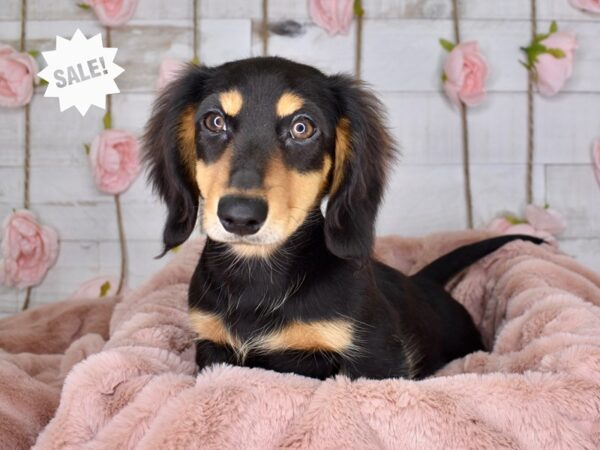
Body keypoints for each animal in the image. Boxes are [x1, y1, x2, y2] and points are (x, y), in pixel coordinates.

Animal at [144, 56, 540, 380]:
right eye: (214, 121)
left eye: (302, 127)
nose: (239, 216)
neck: (257, 277)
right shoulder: (213, 349)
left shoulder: (376, 358)